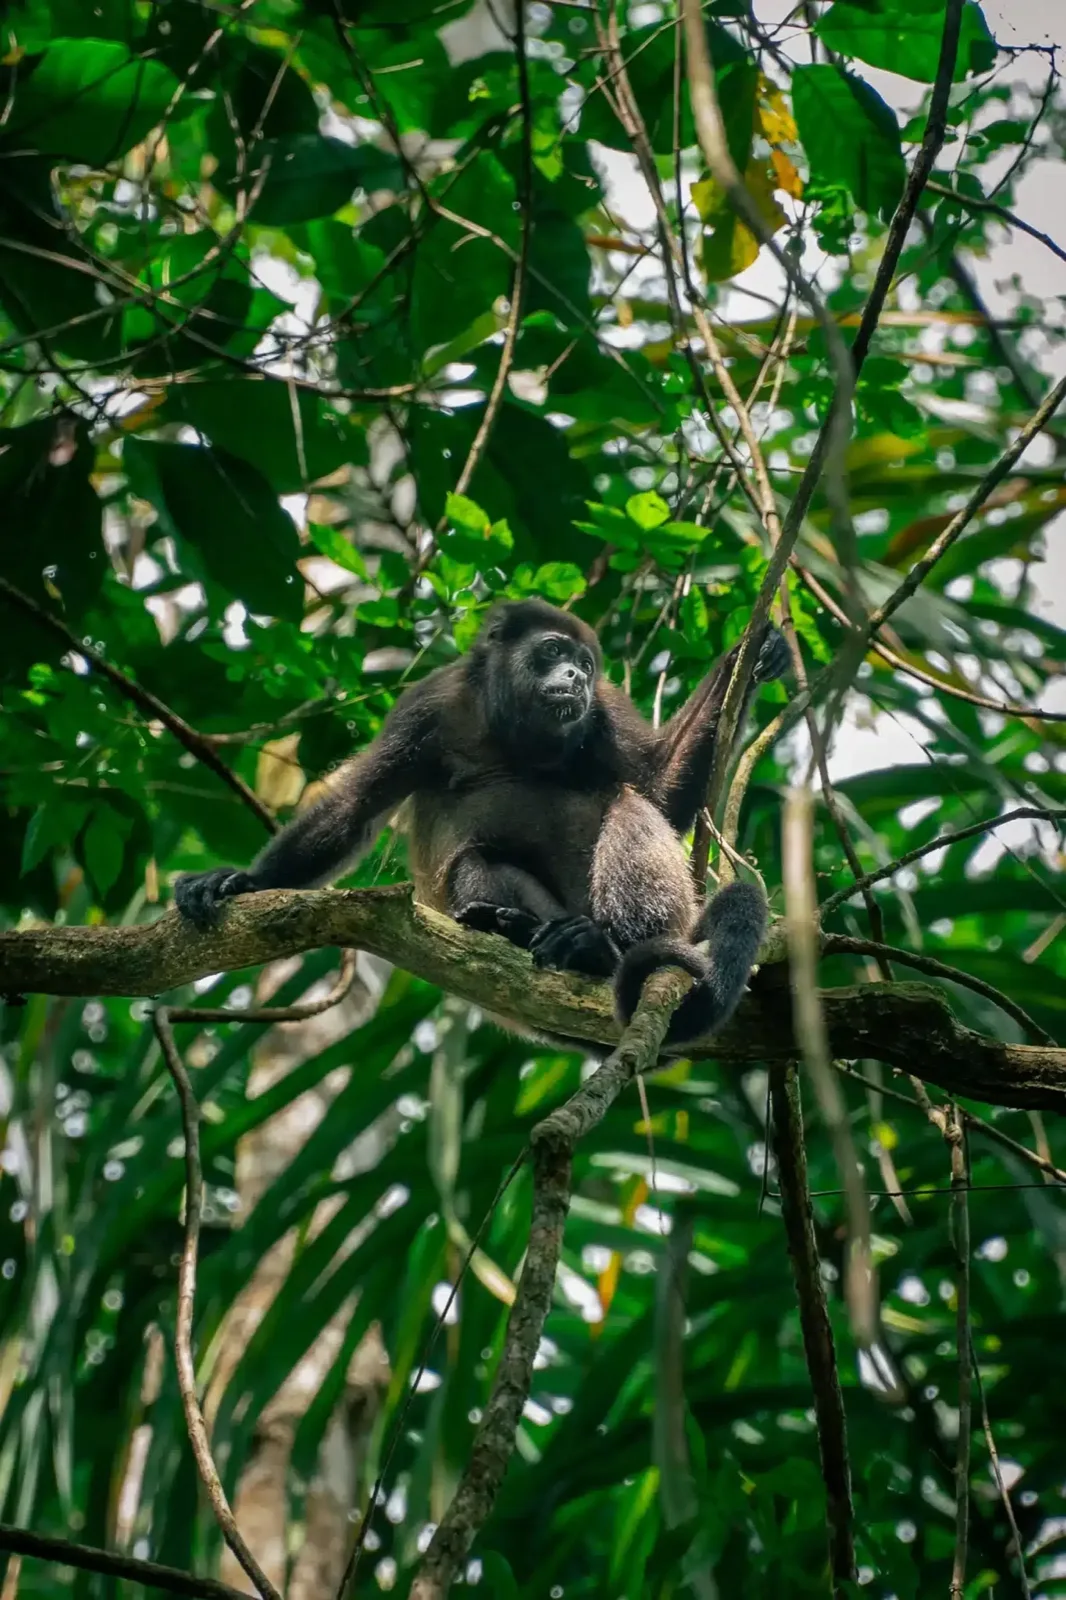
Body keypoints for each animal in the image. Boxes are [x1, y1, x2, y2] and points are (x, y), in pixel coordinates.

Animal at [175, 598, 790, 1045]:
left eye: (587, 666)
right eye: (552, 650)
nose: (575, 675)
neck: (513, 729)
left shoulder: (604, 707)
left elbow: (658, 790)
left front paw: (752, 651)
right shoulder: (426, 706)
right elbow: (355, 807)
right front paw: (242, 882)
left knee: (628, 807)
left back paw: (603, 946)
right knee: (477, 860)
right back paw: (522, 932)